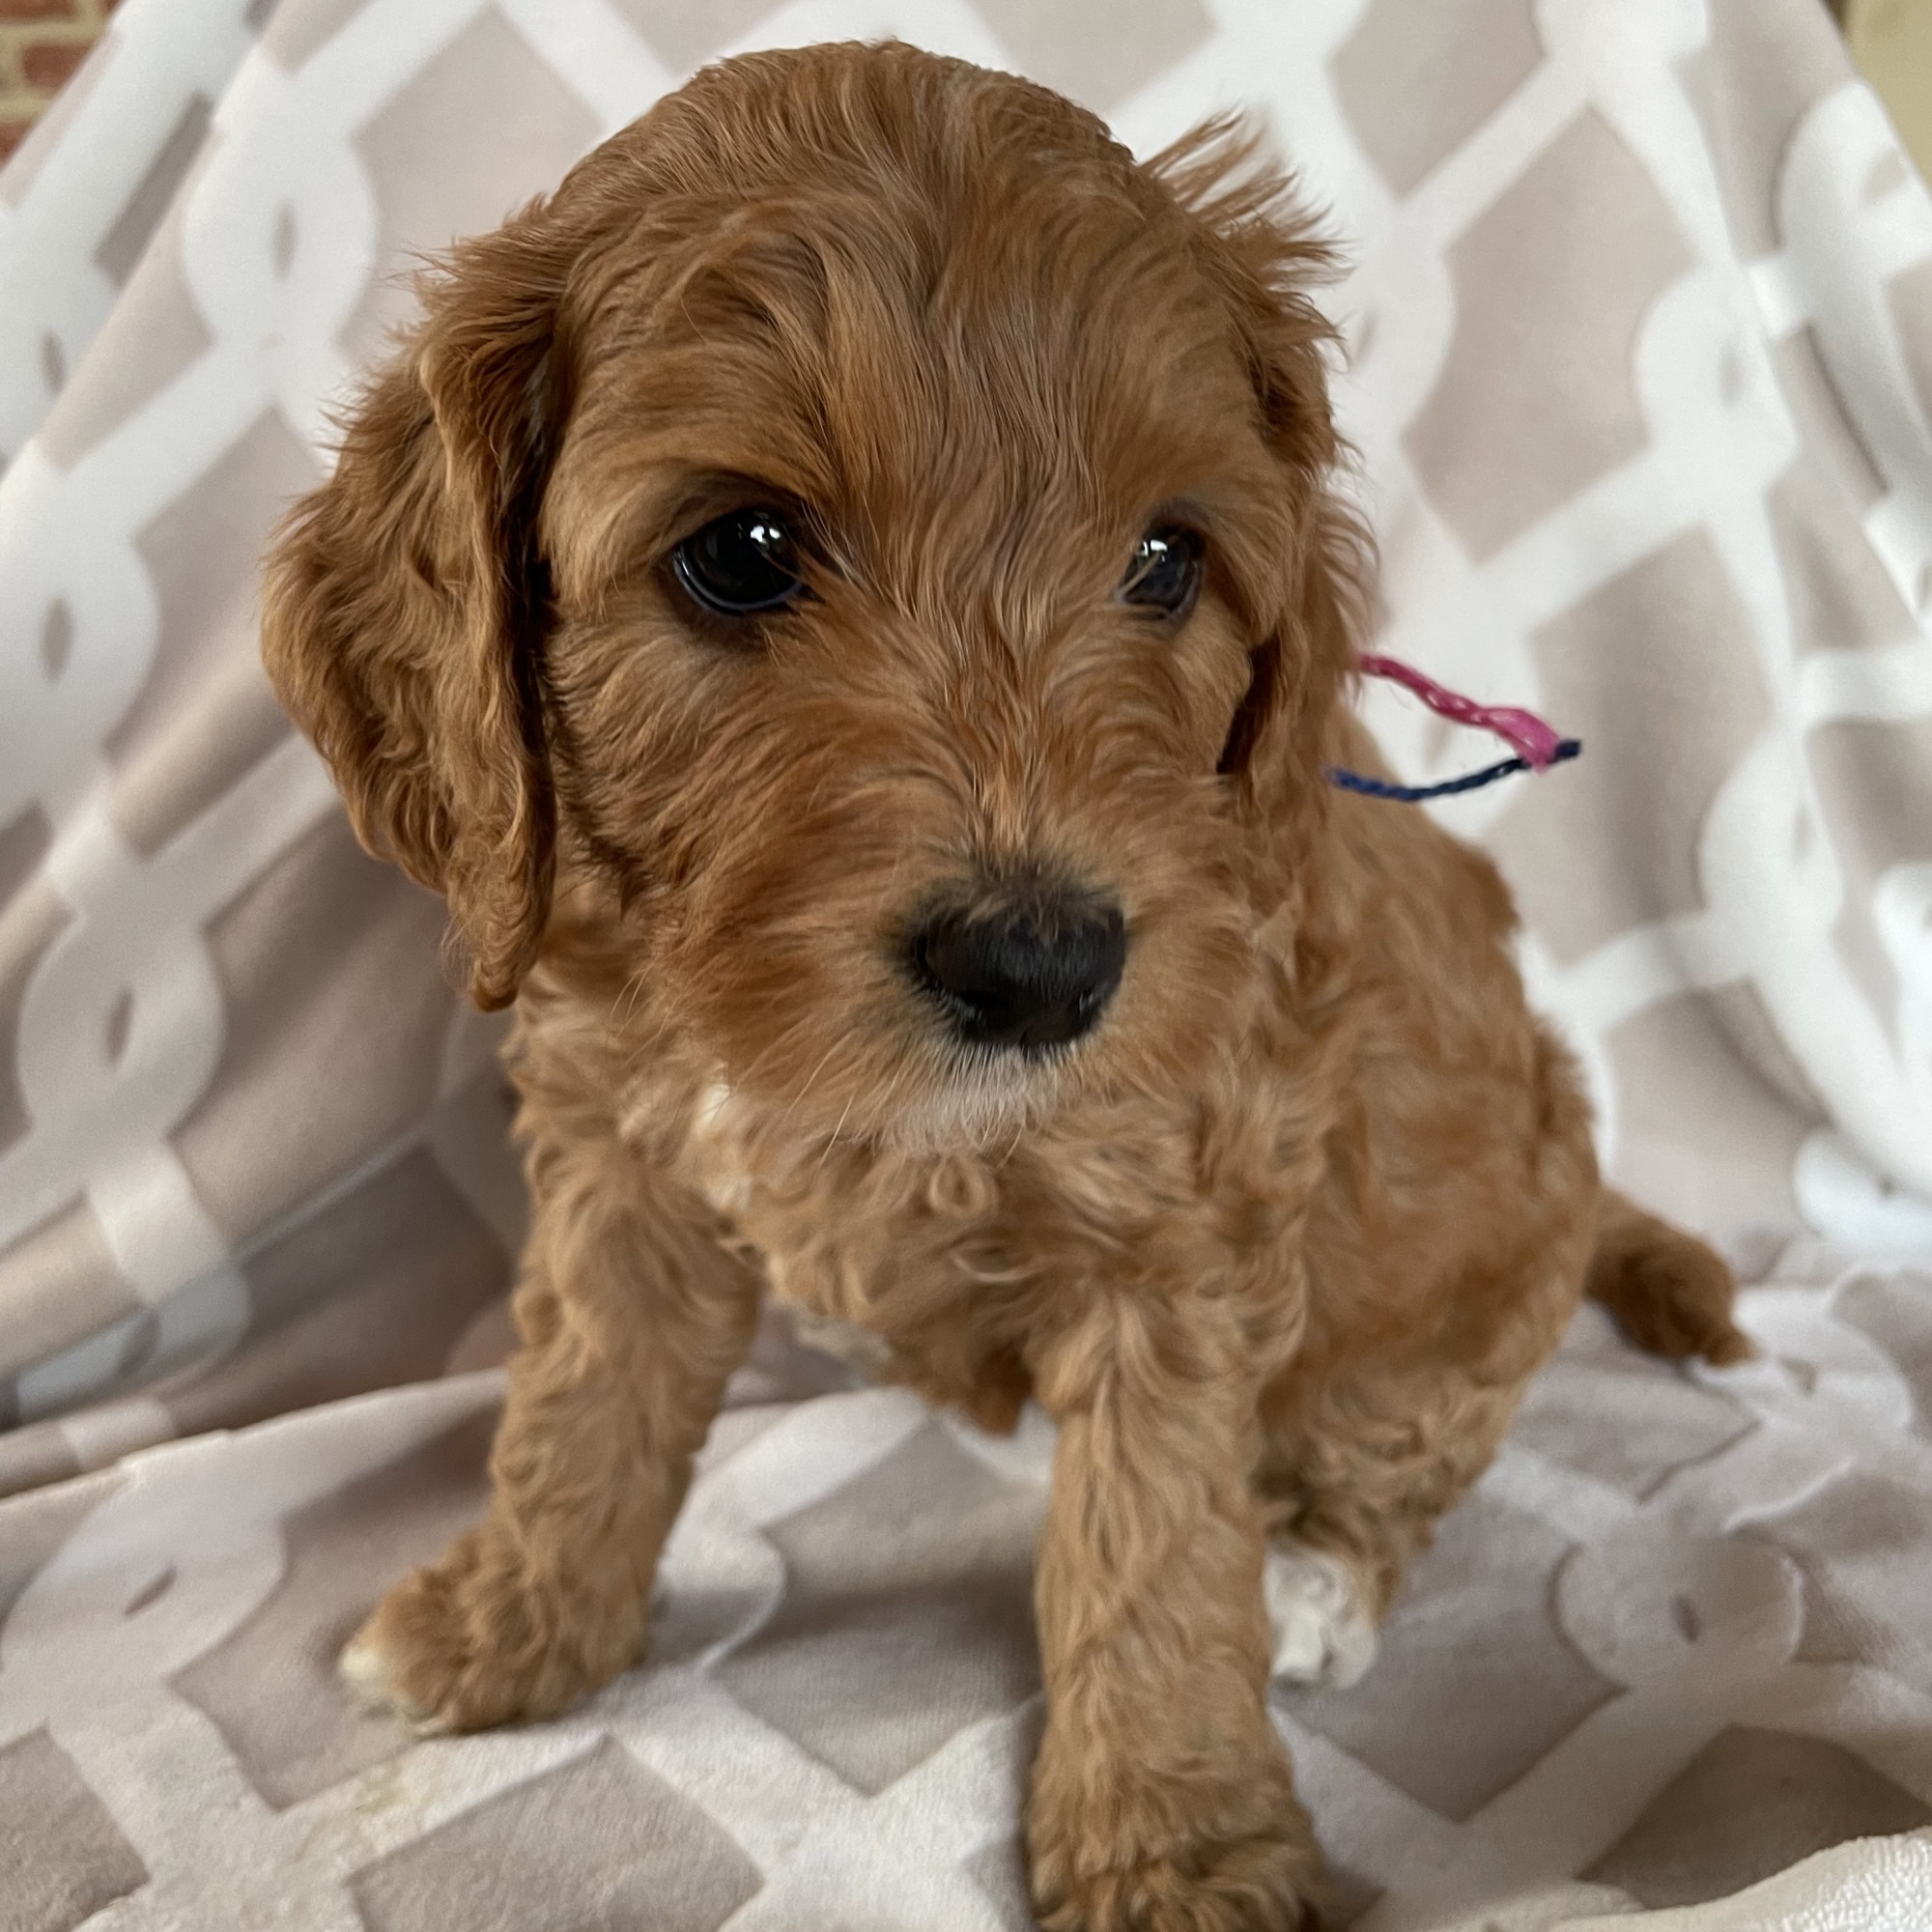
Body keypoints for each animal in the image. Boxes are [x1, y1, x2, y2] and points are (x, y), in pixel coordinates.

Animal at [261, 41, 1749, 1930]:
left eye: (1168, 562)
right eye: (740, 551)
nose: (1045, 967)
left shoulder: (1182, 1225)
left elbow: (1156, 1553)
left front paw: (1177, 1847)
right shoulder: (621, 1161)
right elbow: (585, 1401)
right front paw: (513, 1629)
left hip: (1488, 1277)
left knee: (1400, 1450)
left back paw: (1317, 1578)